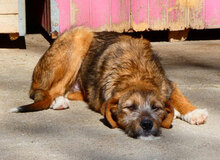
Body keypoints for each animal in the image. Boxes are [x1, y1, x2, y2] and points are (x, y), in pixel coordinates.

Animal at [11, 27, 208, 138]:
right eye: (130, 108)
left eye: (155, 107)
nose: (147, 124)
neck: (135, 73)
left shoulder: (167, 83)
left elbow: (177, 96)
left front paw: (193, 112)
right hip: (80, 36)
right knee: (46, 91)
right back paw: (57, 100)